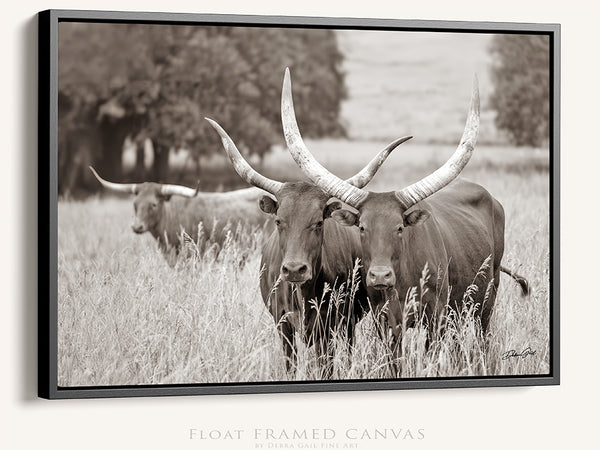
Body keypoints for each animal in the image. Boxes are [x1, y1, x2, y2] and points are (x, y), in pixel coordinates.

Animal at [207, 115, 412, 370]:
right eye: (278, 221)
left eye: (318, 222)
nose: (295, 269)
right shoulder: (283, 325)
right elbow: (290, 364)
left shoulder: (329, 326)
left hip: (349, 322)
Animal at [278, 68, 528, 354]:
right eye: (362, 227)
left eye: (399, 228)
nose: (380, 275)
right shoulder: (386, 322)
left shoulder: (436, 318)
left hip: (486, 299)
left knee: (482, 337)